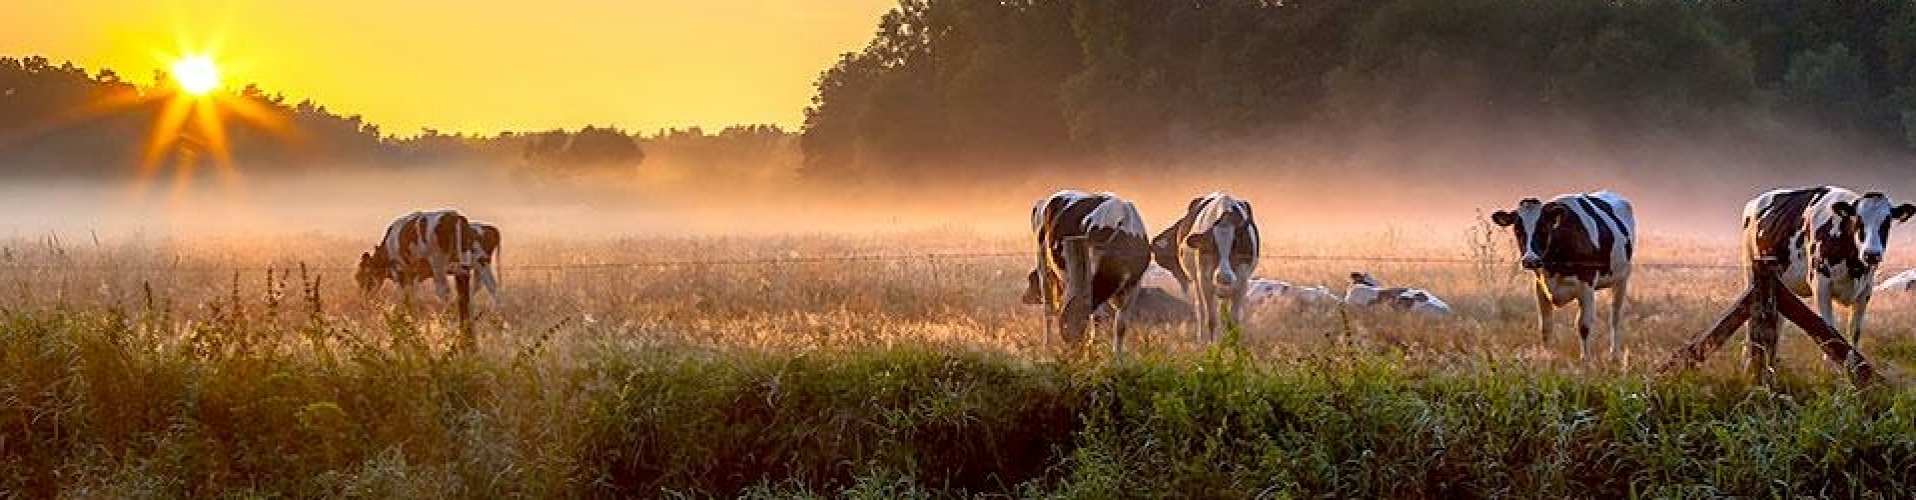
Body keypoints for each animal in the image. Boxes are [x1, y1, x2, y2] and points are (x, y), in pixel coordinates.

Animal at [356, 207, 486, 300]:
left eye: (360, 276)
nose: (363, 299)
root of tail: (454, 216)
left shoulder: (401, 270)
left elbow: (404, 295)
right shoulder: (415, 273)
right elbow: (414, 294)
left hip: (437, 262)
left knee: (443, 290)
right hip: (464, 258)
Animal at [1019, 188, 1149, 352]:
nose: (1072, 349)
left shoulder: (1134, 285)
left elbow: (1121, 325)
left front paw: (1116, 356)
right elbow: (1098, 318)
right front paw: (1093, 348)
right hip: (1043, 263)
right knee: (1048, 309)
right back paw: (1047, 347)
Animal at [1149, 190, 1256, 342]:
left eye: (1236, 246)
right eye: (1210, 247)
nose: (1223, 277)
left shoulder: (1242, 282)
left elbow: (1234, 321)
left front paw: (1233, 345)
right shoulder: (1204, 281)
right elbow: (1211, 319)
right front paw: (1212, 345)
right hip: (1196, 281)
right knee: (1200, 309)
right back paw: (1201, 340)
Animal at [1486, 190, 1640, 358]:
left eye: (1544, 229)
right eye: (1517, 230)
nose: (1530, 260)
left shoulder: (1586, 284)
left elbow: (1583, 325)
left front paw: (1585, 360)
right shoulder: (1541, 286)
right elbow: (1545, 327)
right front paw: (1547, 357)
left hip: (1622, 278)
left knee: (1615, 317)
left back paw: (1614, 355)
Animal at [1747, 185, 1908, 346]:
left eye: (1887, 222)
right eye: (1858, 220)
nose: (1872, 254)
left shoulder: (1866, 290)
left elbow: (1854, 336)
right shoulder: (1821, 286)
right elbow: (1830, 334)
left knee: (1778, 322)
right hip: (1752, 276)